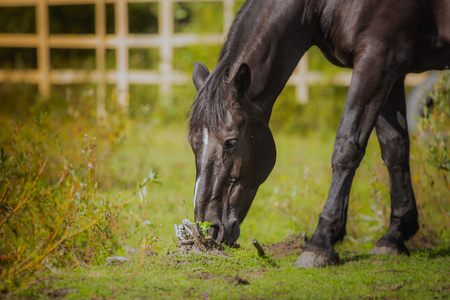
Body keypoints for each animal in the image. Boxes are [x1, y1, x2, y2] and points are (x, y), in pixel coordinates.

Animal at [186, 0, 450, 268]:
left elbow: (347, 146)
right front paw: (394, 238)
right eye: (192, 144)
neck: (320, 7)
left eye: (231, 142)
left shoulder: (378, 59)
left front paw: (321, 242)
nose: (209, 229)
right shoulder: (393, 70)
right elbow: (395, 147)